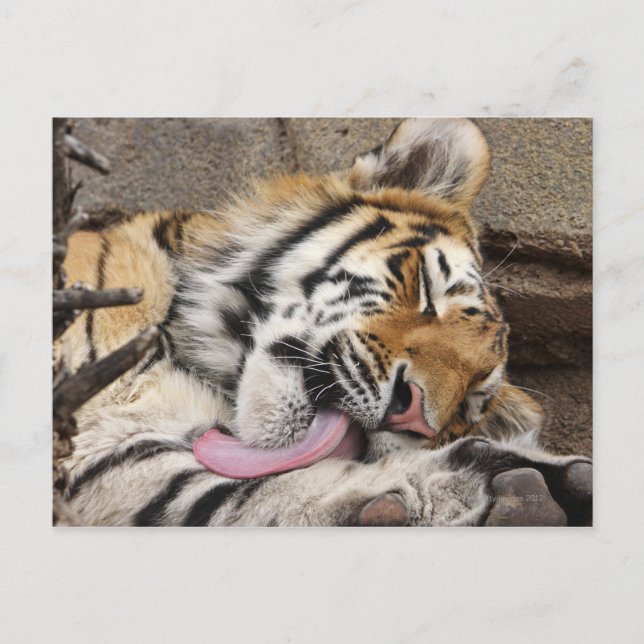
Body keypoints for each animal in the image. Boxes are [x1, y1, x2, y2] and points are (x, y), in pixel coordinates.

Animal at [58, 118, 592, 526]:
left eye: (468, 404)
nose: (412, 415)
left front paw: (527, 489)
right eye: (426, 289)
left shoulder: (119, 453)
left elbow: (236, 493)